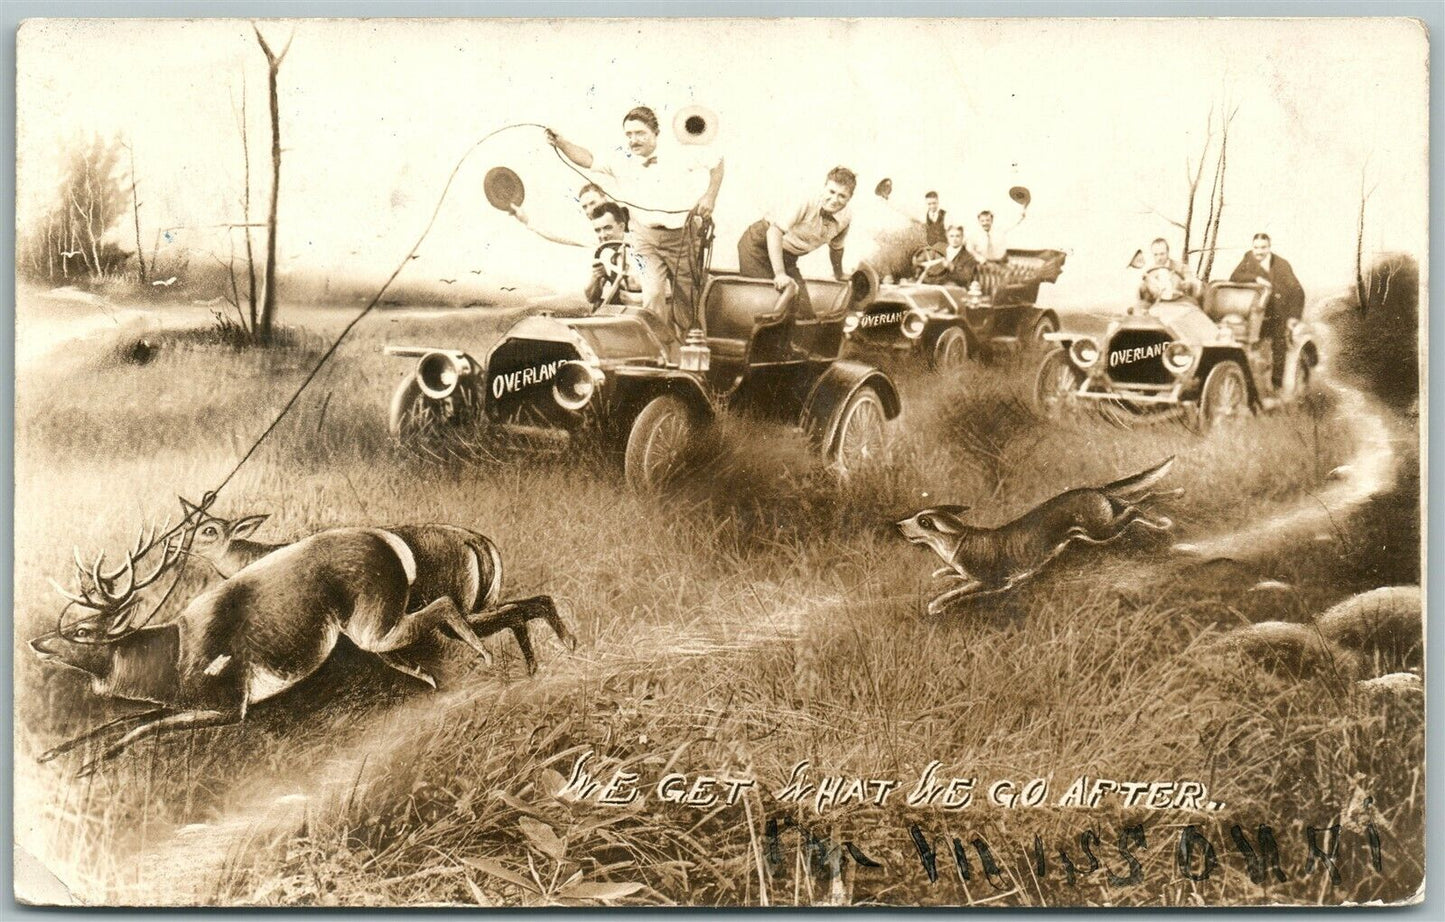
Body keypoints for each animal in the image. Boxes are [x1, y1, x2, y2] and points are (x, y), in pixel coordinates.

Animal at [31, 520, 572, 774]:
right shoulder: (184, 700)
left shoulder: (231, 703)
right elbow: (125, 721)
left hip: (374, 623)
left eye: (82, 630)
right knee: (518, 607)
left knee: (448, 611)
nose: (37, 642)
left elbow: (141, 728)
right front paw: (53, 755)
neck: (171, 656)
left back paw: (491, 660)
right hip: (384, 624)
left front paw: (86, 767)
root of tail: (390, 540)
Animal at [895, 459, 1179, 618]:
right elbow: (951, 574)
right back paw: (1173, 495)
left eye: (924, 521)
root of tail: (1096, 489)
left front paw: (936, 604)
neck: (959, 540)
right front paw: (940, 574)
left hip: (1100, 530)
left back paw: (1162, 521)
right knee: (1141, 498)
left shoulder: (992, 583)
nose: (897, 525)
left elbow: (957, 590)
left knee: (1135, 510)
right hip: (1105, 517)